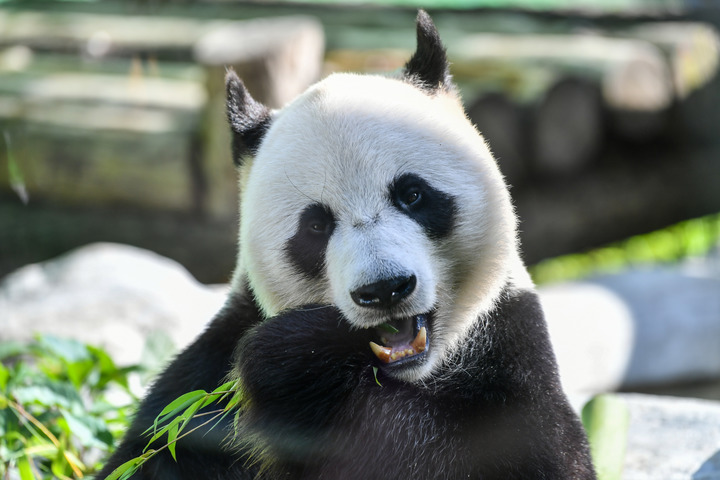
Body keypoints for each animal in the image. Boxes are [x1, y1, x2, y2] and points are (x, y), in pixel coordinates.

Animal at [100, 11, 596, 480]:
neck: (399, 376)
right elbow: (155, 452)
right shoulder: (202, 387)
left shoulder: (511, 352)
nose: (384, 289)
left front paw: (297, 363)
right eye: (316, 226)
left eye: (412, 195)